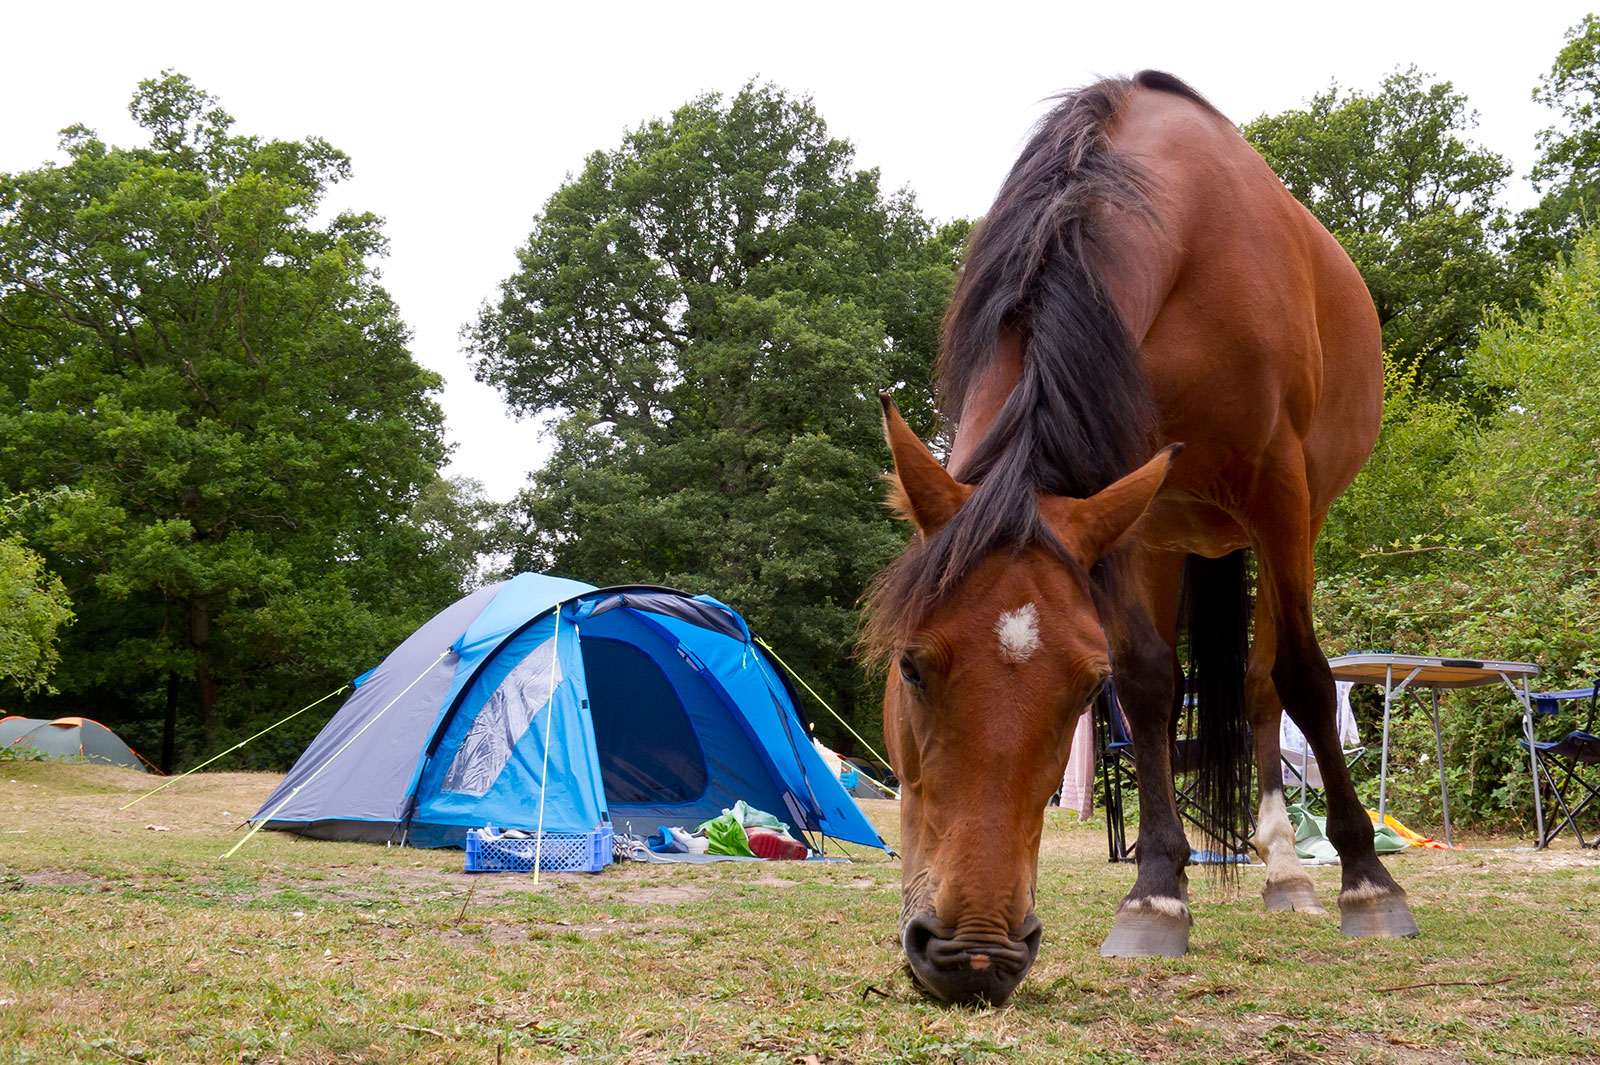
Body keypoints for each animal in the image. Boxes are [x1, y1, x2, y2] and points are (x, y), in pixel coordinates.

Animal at [863, 71, 1407, 1008]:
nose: (975, 955)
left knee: (1267, 683)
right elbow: (1152, 683)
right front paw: (1157, 891)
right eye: (911, 666)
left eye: (1084, 691)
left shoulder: (1281, 491)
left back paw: (1290, 871)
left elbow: (1304, 676)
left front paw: (1368, 878)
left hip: (1285, 524)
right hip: (1172, 532)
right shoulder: (1129, 516)